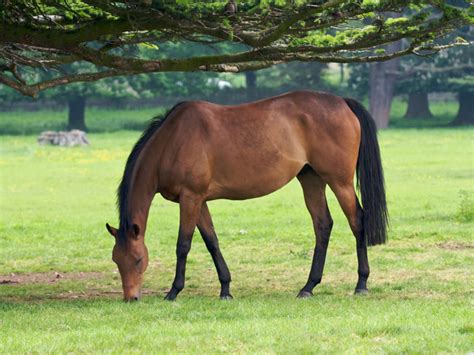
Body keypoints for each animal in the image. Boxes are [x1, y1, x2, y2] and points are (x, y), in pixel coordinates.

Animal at [105, 90, 386, 302]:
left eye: (138, 260)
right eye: (116, 260)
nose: (131, 298)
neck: (172, 141)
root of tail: (342, 102)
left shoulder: (190, 198)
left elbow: (183, 244)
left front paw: (174, 291)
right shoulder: (200, 201)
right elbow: (212, 241)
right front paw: (225, 289)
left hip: (340, 182)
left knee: (357, 221)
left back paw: (361, 284)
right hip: (311, 179)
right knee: (323, 225)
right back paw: (308, 287)